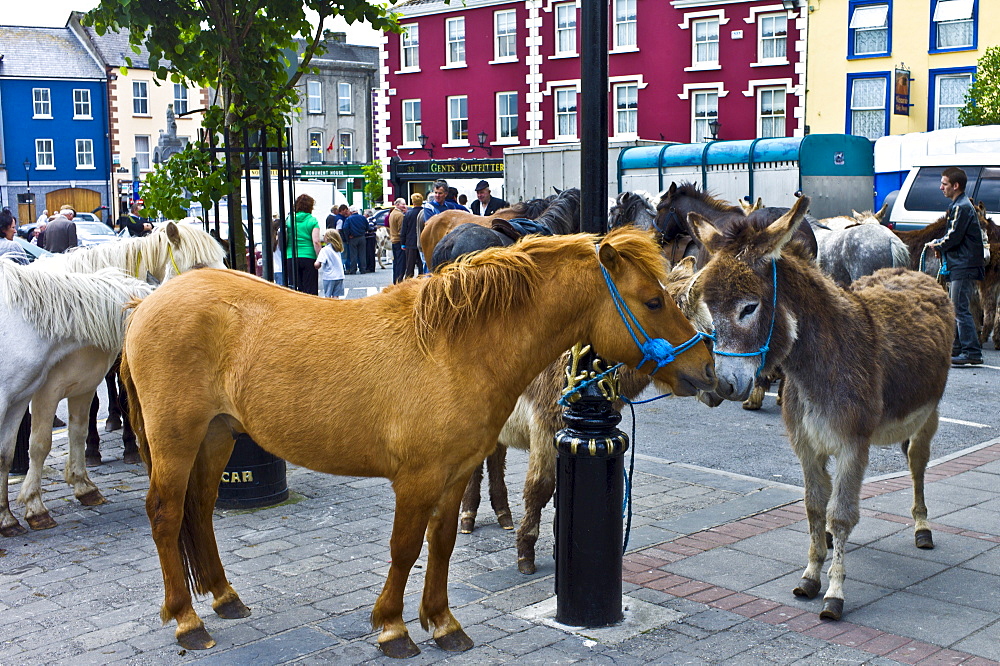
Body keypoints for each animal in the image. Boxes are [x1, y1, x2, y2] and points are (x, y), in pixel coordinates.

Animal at [121, 227, 716, 652]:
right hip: (177, 437)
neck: (455, 348)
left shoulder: (457, 473)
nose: (710, 371)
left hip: (217, 434)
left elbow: (443, 543)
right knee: (166, 515)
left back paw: (224, 598)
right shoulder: (417, 479)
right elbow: (405, 548)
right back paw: (188, 621)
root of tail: (145, 305)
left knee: (200, 509)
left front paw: (442, 622)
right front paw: (393, 627)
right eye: (654, 301)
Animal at [688, 197, 952, 624]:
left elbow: (841, 515)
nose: (721, 387)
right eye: (709, 306)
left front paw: (834, 593)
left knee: (917, 464)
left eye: (749, 308)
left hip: (928, 414)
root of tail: (912, 271)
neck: (815, 367)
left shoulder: (852, 446)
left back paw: (922, 527)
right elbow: (814, 508)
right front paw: (811, 575)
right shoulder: (807, 446)